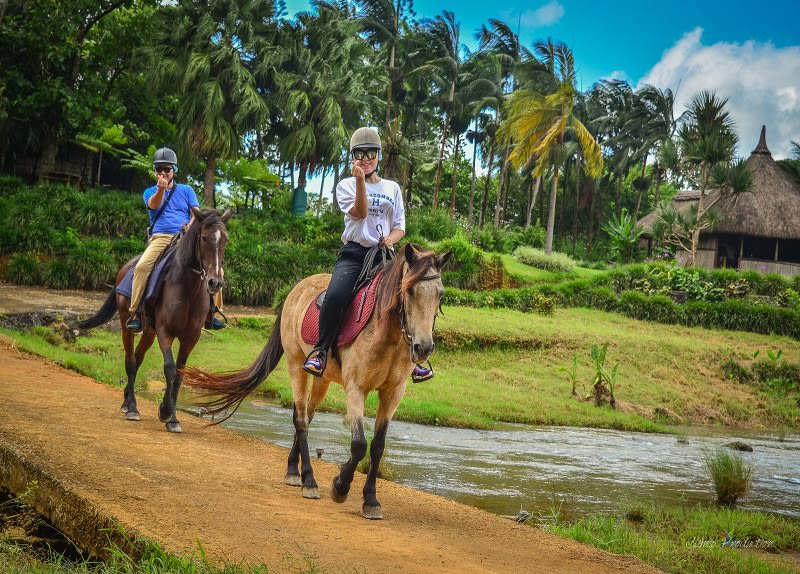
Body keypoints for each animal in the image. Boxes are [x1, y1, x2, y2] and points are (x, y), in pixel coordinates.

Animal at [77, 209, 231, 434]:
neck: (188, 288)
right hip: (127, 325)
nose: (215, 282)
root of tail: (126, 267)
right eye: (204, 238)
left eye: (225, 240)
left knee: (138, 358)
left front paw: (173, 418)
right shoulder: (165, 331)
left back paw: (127, 400)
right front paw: (165, 412)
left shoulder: (191, 337)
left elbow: (179, 374)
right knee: (131, 361)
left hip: (149, 331)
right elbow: (169, 368)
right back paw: (131, 407)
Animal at [184, 243, 454, 520]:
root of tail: (296, 288)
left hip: (322, 380)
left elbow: (378, 446)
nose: (423, 348)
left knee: (306, 415)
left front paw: (371, 500)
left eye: (440, 294)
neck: (387, 333)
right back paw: (309, 481)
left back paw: (294, 471)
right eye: (409, 290)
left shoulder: (393, 393)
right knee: (302, 420)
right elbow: (359, 444)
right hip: (296, 366)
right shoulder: (356, 388)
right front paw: (340, 486)